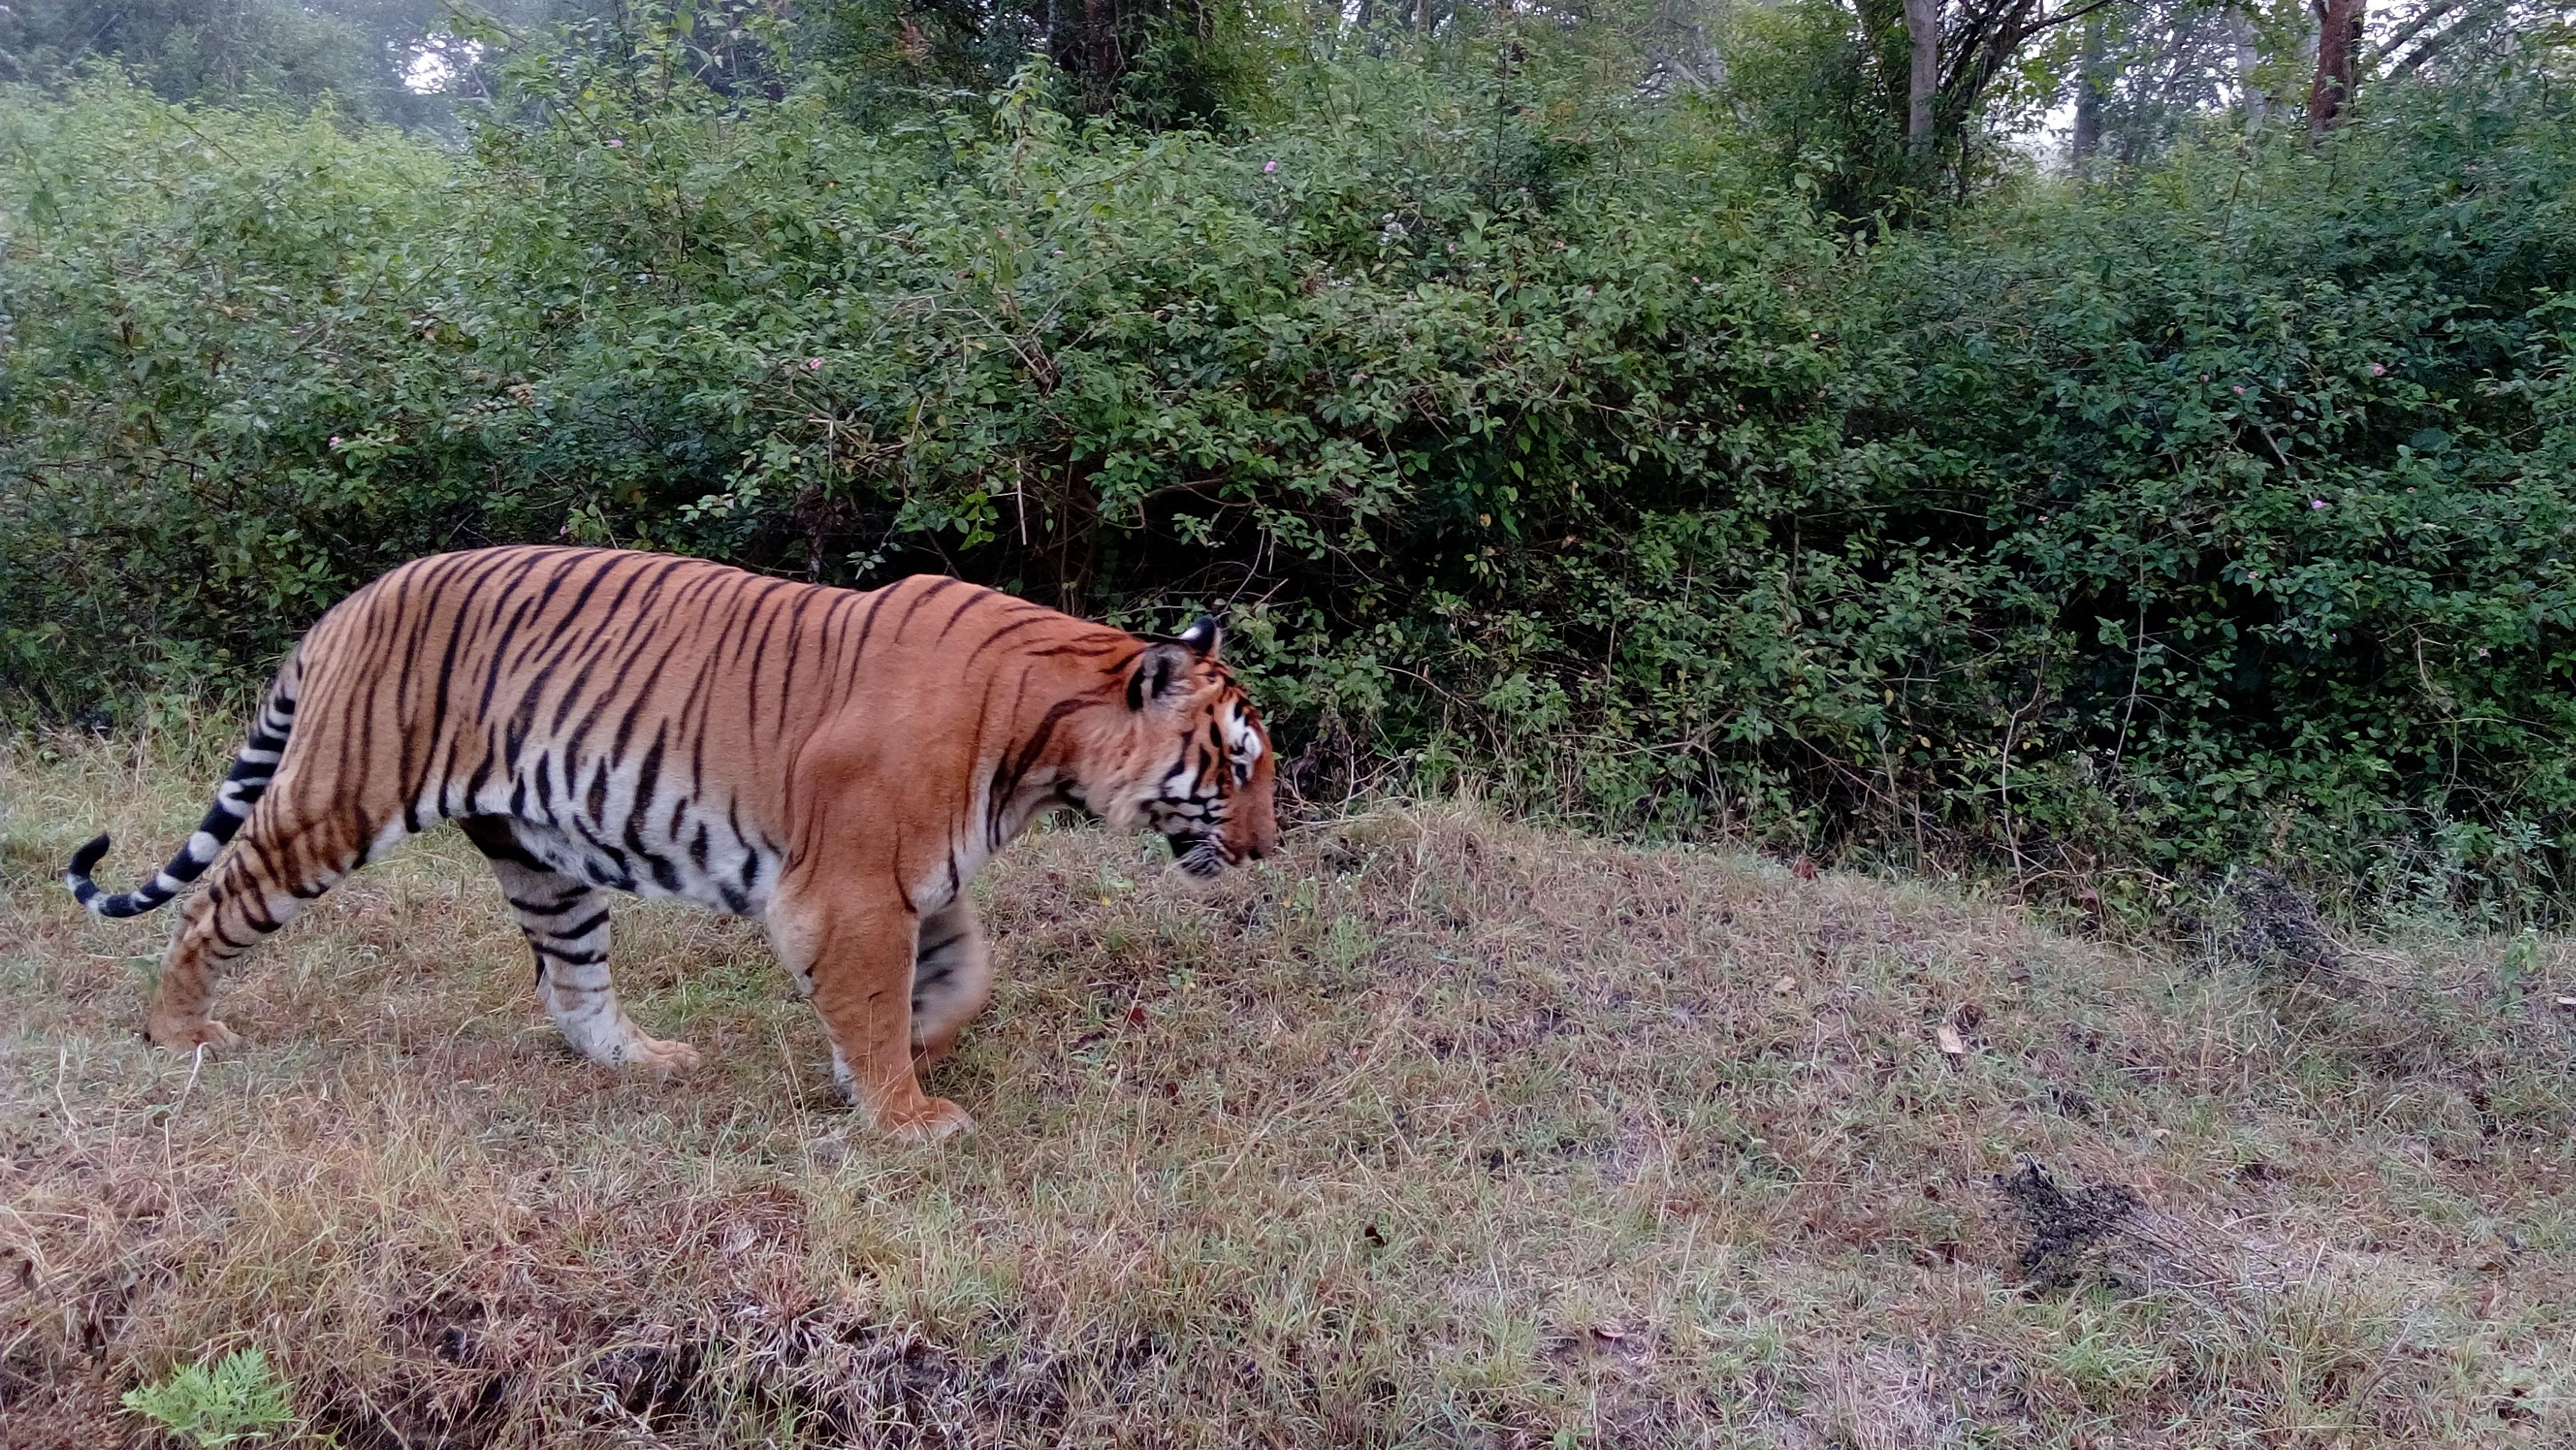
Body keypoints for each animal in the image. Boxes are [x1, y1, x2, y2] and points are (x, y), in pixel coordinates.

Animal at [64, 546, 1277, 1142]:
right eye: (1237, 763)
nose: (1269, 848)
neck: (1044, 743)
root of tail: (350, 603)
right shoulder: (850, 890)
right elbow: (879, 998)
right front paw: (904, 1113)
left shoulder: (916, 883)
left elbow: (960, 975)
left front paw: (892, 1065)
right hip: (335, 802)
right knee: (213, 902)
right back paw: (179, 1031)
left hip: (542, 859)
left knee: (571, 986)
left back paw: (641, 1060)